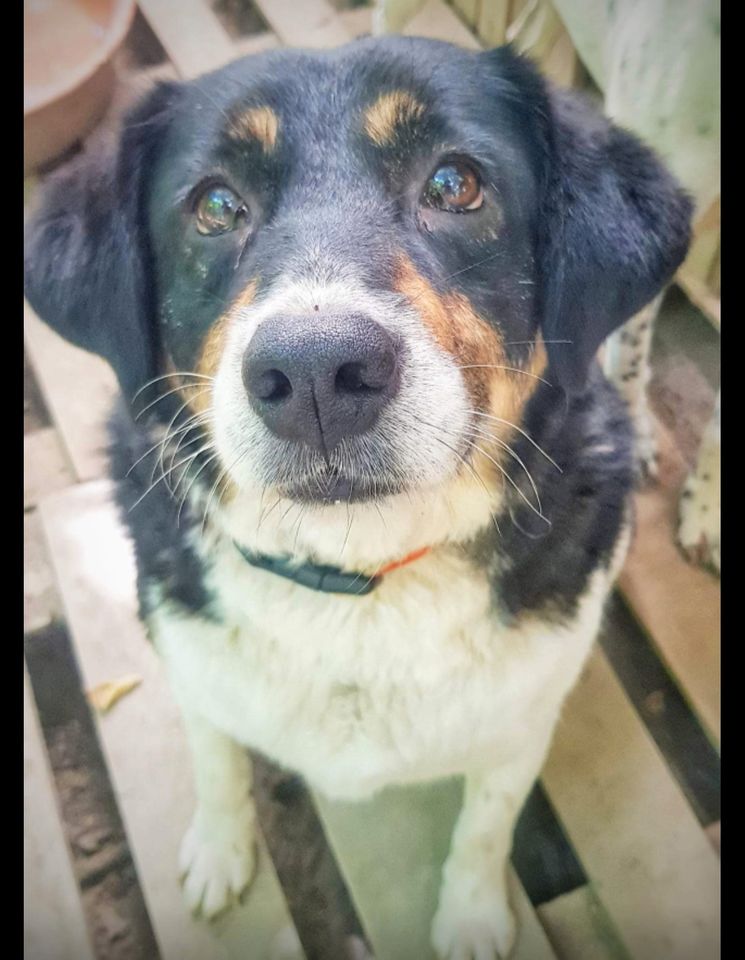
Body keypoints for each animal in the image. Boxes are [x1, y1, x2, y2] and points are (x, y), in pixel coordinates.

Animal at [24, 39, 692, 960]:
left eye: (454, 183)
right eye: (215, 205)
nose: (315, 371)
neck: (357, 579)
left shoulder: (521, 723)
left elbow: (484, 826)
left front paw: (471, 918)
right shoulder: (190, 664)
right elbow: (216, 763)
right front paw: (219, 853)